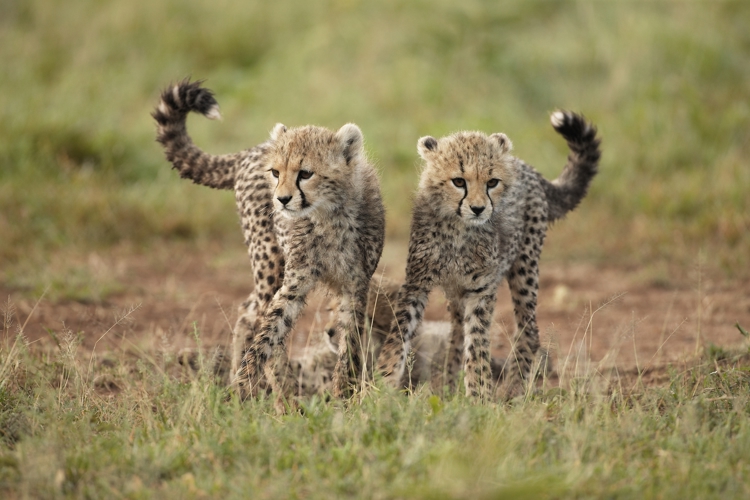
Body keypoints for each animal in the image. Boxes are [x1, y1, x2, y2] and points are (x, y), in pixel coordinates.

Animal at [152, 80, 385, 402]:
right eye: (276, 173)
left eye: (306, 173)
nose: (282, 200)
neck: (329, 217)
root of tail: (252, 150)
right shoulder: (295, 282)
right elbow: (270, 332)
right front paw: (248, 385)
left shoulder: (356, 286)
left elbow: (349, 343)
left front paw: (344, 395)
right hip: (269, 262)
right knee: (257, 314)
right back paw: (269, 390)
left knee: (247, 309)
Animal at [376, 110, 601, 400]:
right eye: (459, 181)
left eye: (492, 182)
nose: (478, 208)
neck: (459, 229)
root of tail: (525, 166)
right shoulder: (417, 283)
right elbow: (398, 335)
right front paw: (380, 384)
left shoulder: (481, 290)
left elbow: (478, 344)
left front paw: (478, 395)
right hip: (457, 293)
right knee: (457, 332)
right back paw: (448, 385)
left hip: (525, 267)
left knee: (529, 331)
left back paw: (513, 390)